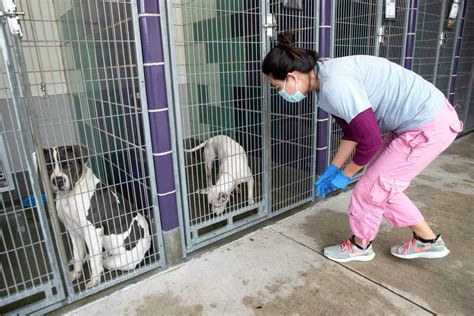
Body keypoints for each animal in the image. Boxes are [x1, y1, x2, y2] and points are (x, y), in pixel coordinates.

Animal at [42, 146, 151, 288]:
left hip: (119, 260)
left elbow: (95, 262)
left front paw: (94, 280)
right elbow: (77, 255)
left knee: (101, 261)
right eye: (49, 166)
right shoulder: (73, 231)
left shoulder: (92, 232)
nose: (58, 181)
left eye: (68, 164)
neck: (69, 196)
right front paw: (76, 273)